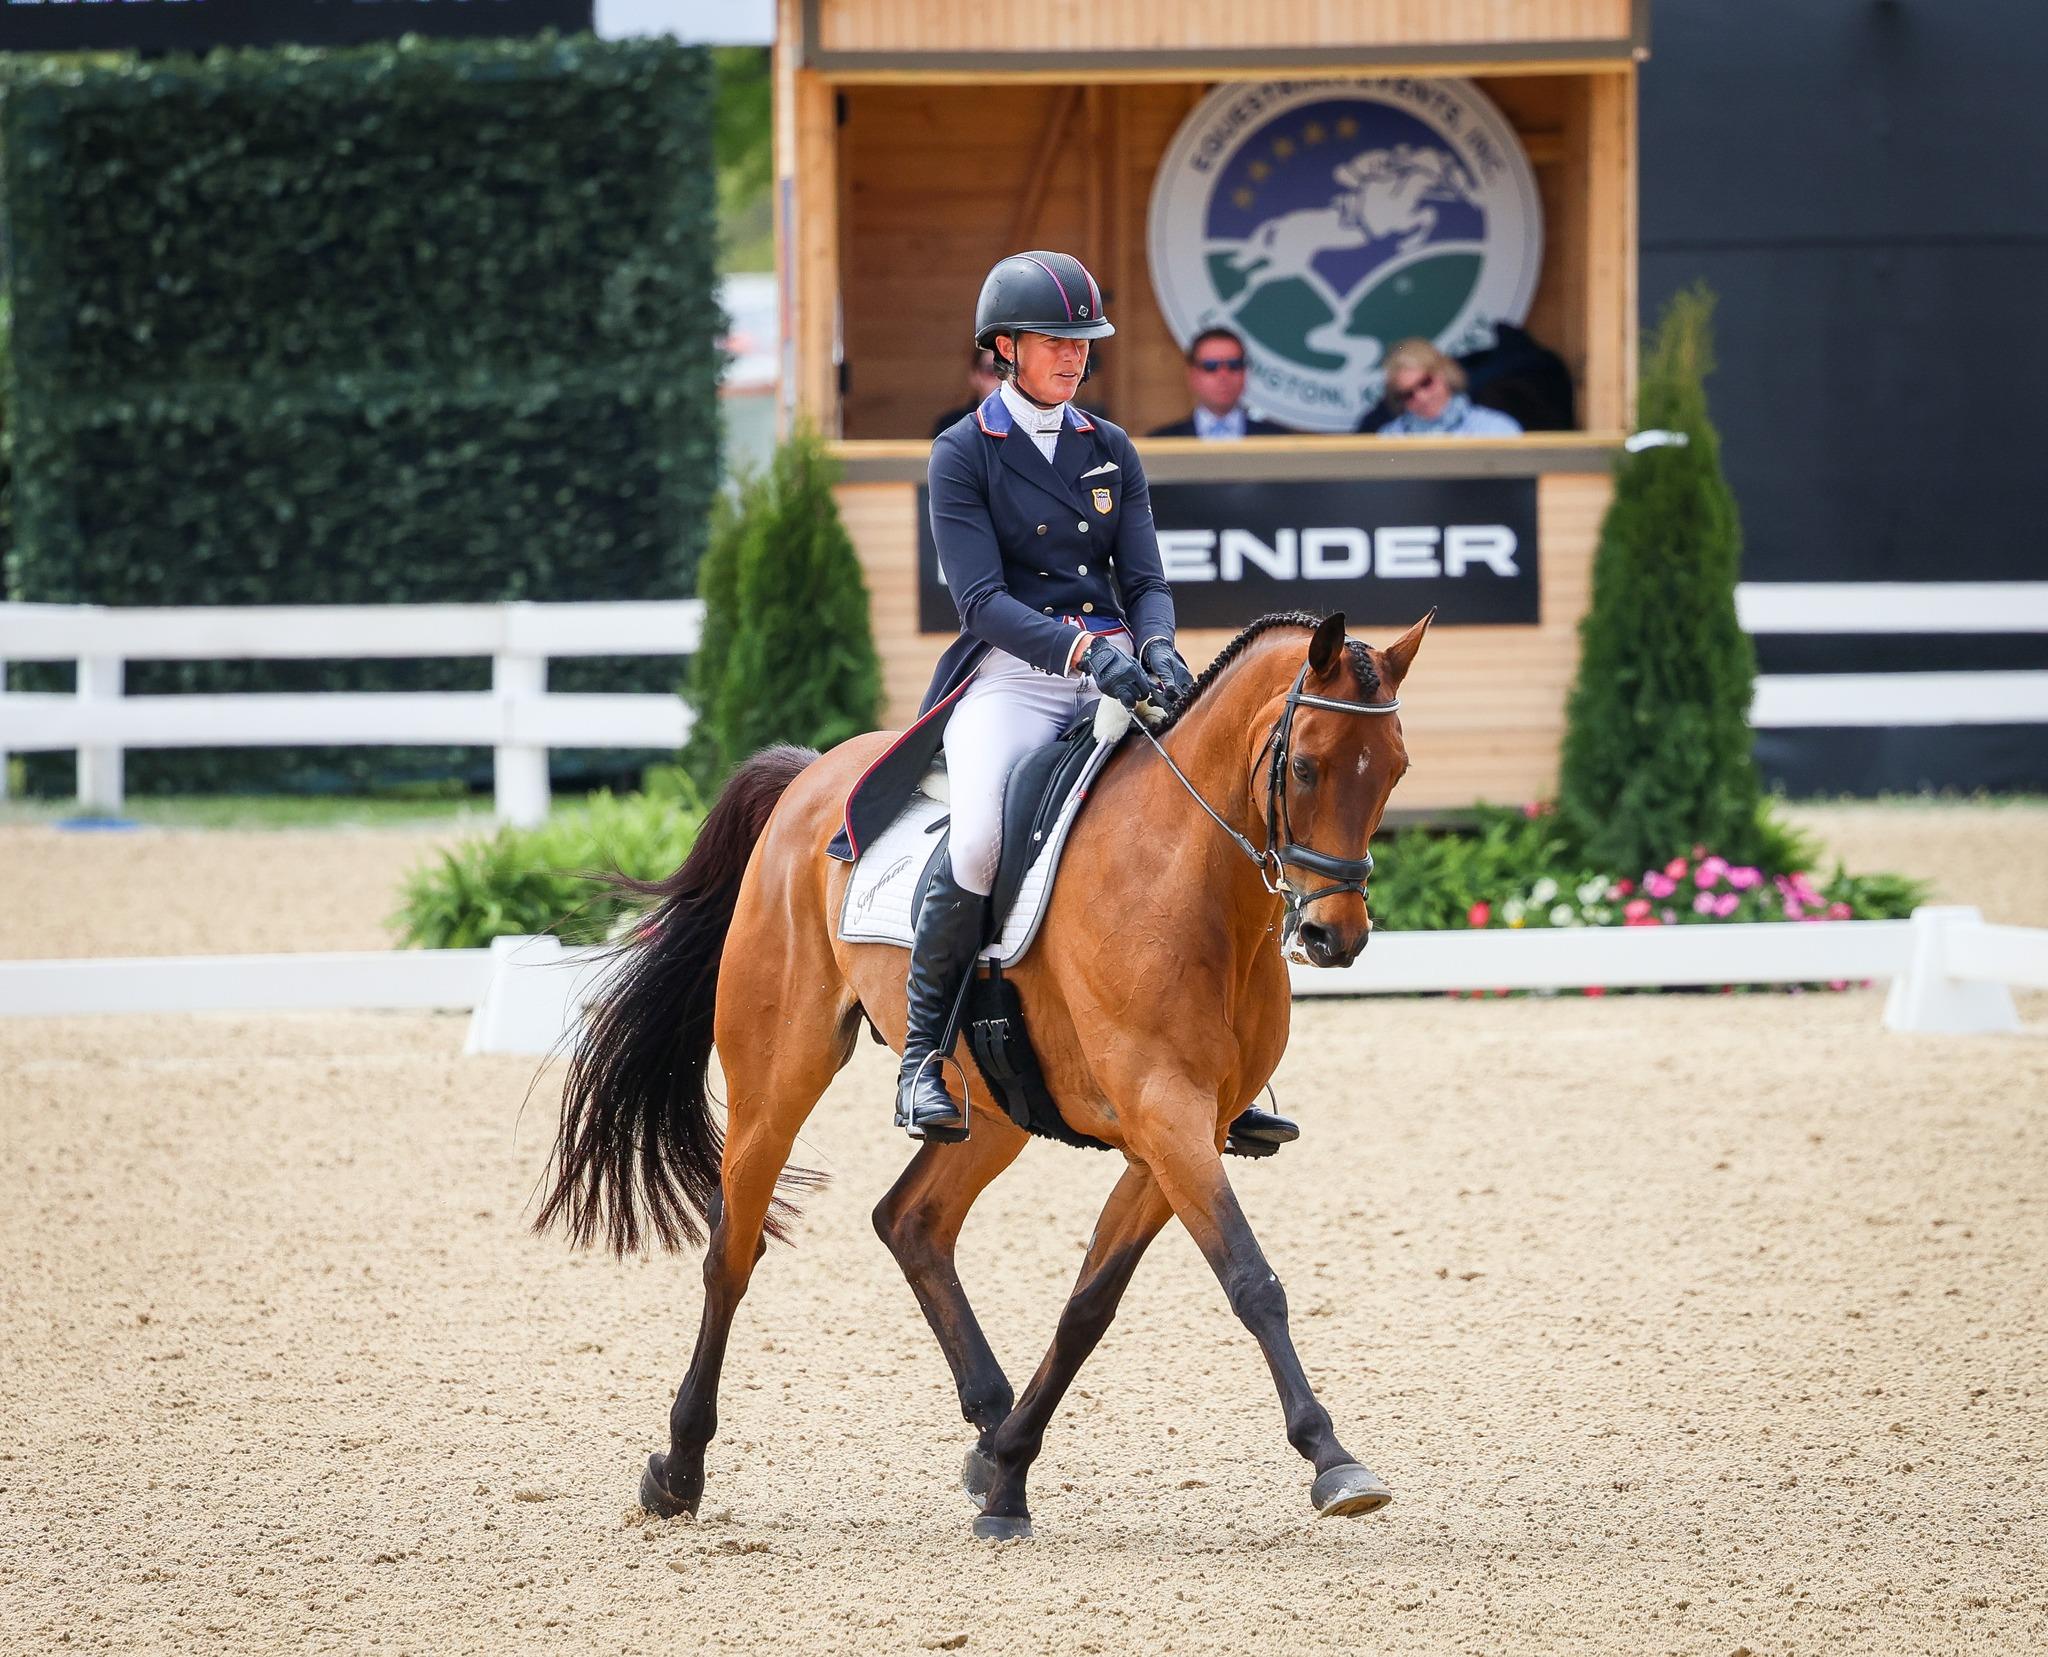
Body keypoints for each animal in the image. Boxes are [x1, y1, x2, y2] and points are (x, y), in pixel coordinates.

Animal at [544, 606, 1441, 1540]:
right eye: (1304, 765)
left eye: (1395, 769)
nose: (1337, 937)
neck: (1188, 875)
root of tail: (809, 775)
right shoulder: (1164, 1115)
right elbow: (1251, 1280)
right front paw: (1333, 1458)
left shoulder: (1180, 1130)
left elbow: (1089, 1305)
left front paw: (1011, 1472)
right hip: (778, 1073)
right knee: (733, 1246)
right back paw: (678, 1467)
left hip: (993, 1108)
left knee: (911, 1219)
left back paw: (985, 1430)